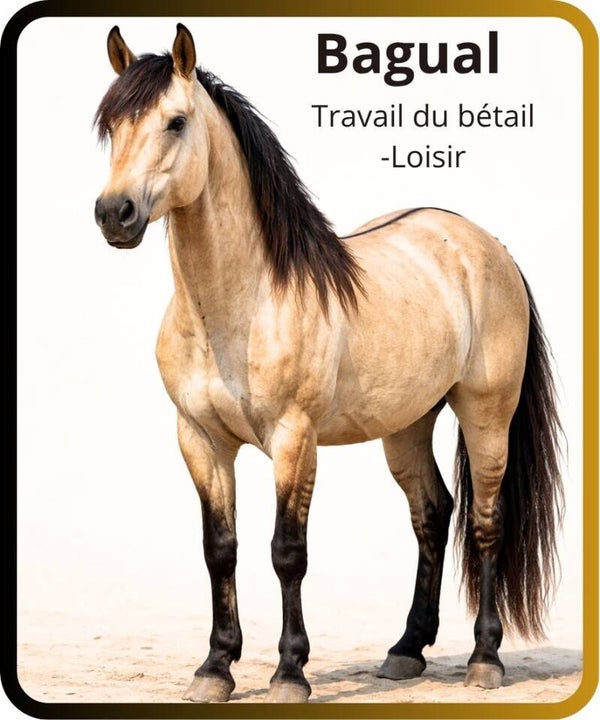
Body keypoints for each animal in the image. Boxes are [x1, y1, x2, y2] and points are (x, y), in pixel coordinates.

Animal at [93, 24, 563, 704]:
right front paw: (215, 667)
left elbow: (288, 551)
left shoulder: (294, 440)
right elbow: (220, 549)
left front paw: (290, 673)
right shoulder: (200, 439)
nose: (115, 214)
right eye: (110, 125)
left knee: (485, 521)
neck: (242, 304)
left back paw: (485, 660)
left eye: (175, 122)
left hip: (486, 415)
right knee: (432, 514)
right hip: (407, 424)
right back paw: (406, 649)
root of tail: (487, 246)